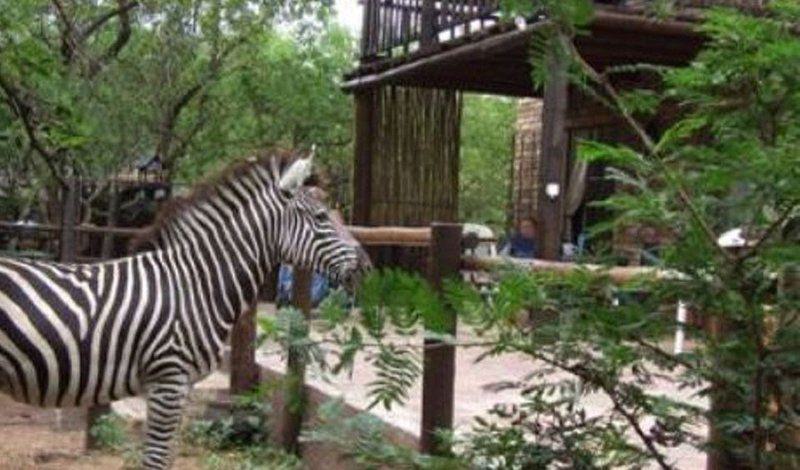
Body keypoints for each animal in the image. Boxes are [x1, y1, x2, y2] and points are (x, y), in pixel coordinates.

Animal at [0, 152, 370, 468]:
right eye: (321, 217)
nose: (367, 267)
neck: (194, 283)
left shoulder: (182, 385)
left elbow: (169, 457)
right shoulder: (168, 379)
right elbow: (156, 460)